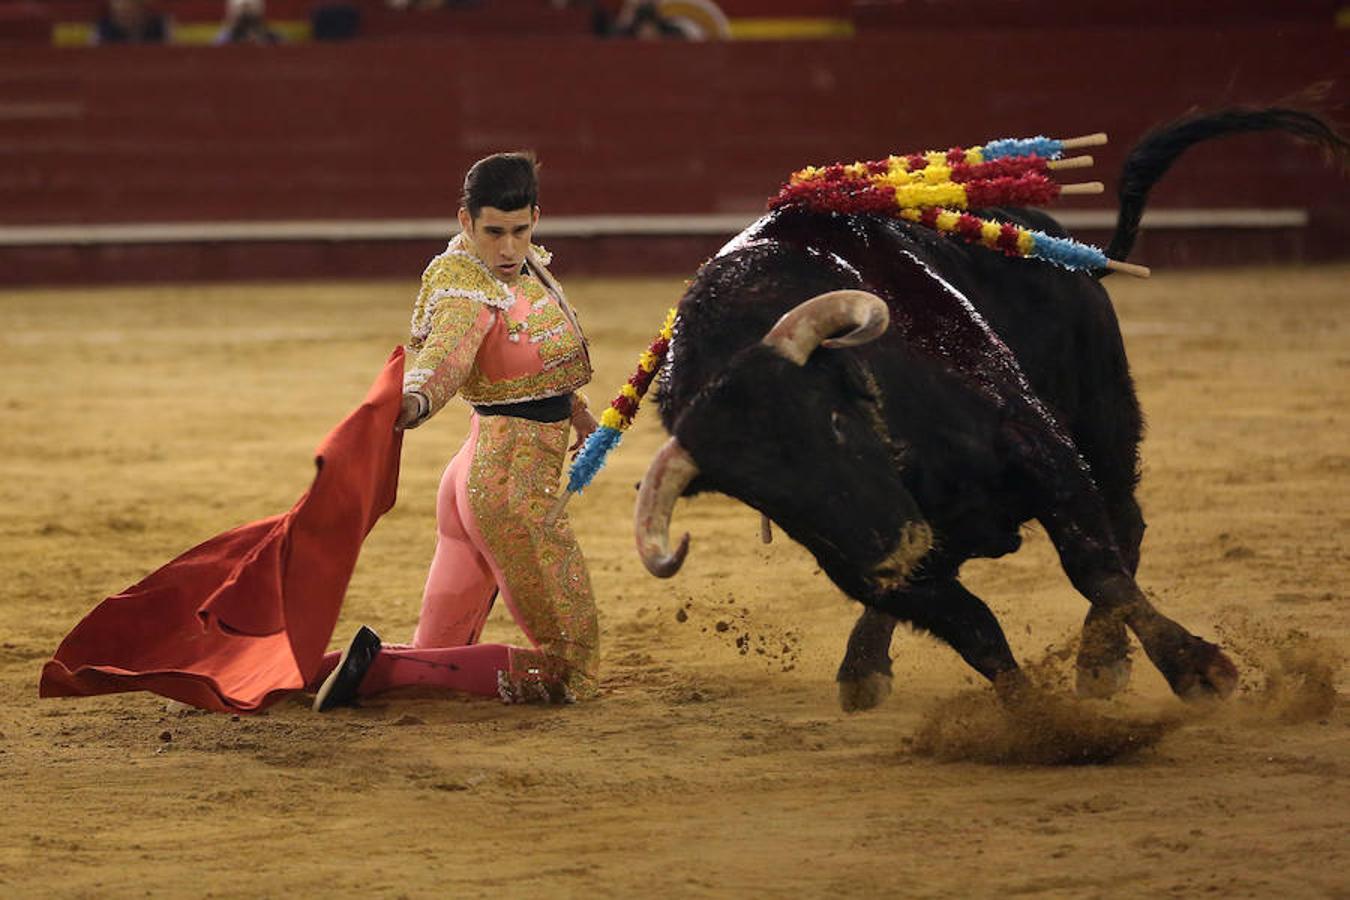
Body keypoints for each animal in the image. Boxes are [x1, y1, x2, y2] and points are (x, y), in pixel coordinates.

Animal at [634, 107, 1350, 712]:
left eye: (834, 424)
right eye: (770, 499)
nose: (894, 546)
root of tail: (1062, 246)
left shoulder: (1039, 450)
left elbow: (1096, 569)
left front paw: (1198, 670)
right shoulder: (867, 569)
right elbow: (975, 630)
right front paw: (1036, 722)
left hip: (1104, 414)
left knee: (1126, 523)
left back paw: (1101, 661)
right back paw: (865, 667)